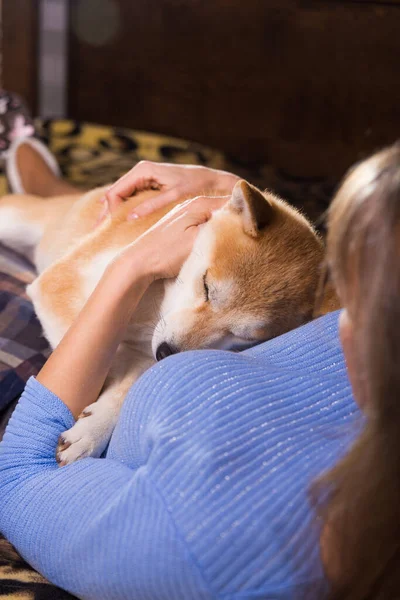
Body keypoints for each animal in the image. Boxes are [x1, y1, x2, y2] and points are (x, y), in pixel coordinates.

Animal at [0, 182, 334, 464]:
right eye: (207, 287)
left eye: (245, 337)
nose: (167, 353)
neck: (155, 306)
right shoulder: (60, 285)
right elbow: (95, 352)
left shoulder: (144, 352)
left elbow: (125, 383)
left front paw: (92, 429)